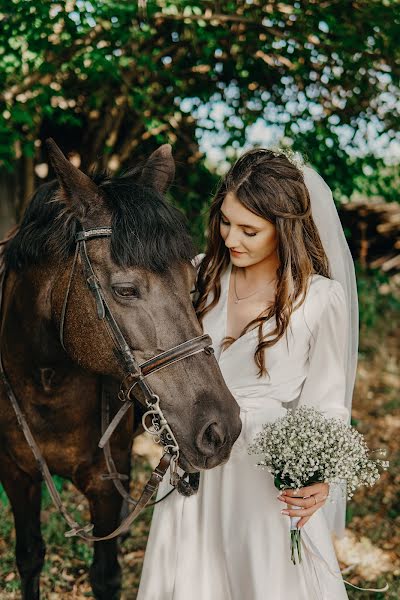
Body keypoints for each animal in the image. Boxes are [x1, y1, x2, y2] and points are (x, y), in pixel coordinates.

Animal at [0, 138, 241, 596]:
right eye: (125, 289)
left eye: (194, 283)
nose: (222, 429)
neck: (45, 383)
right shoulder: (17, 477)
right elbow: (29, 557)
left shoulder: (105, 487)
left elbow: (105, 575)